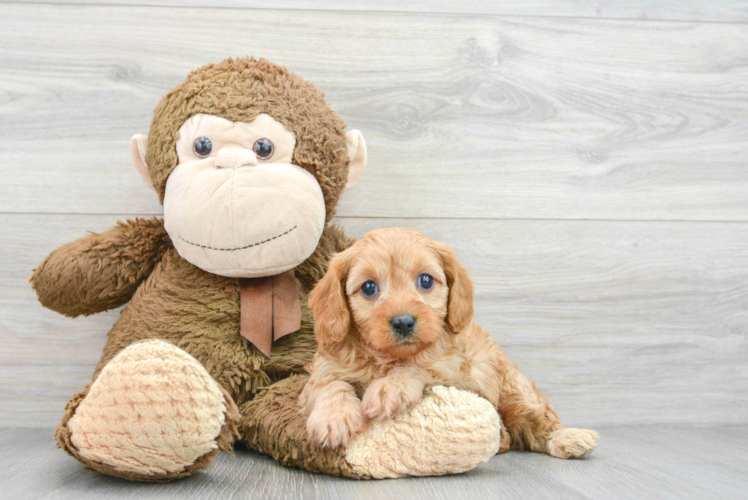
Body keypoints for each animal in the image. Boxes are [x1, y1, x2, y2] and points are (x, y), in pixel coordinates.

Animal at [300, 227, 600, 458]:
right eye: (369, 287)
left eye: (425, 280)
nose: (403, 322)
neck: (387, 358)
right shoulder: (321, 373)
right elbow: (331, 385)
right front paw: (333, 418)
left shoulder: (456, 375)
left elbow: (418, 367)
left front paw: (390, 388)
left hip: (517, 390)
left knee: (539, 420)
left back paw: (569, 438)